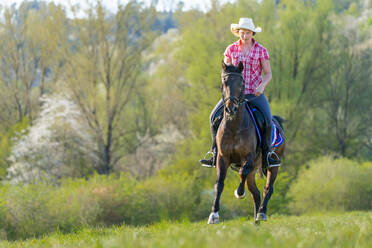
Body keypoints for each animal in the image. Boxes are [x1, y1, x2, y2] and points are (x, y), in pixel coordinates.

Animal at [208, 61, 286, 225]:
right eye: (224, 82)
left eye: (241, 83)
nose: (231, 108)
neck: (234, 126)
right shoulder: (222, 157)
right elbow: (219, 183)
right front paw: (214, 214)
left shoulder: (248, 157)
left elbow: (241, 173)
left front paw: (239, 193)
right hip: (254, 170)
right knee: (255, 194)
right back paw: (256, 222)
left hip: (273, 166)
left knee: (268, 188)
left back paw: (261, 213)